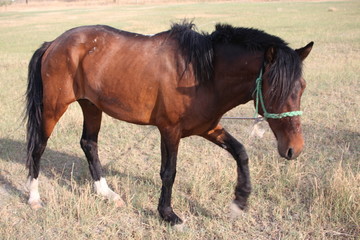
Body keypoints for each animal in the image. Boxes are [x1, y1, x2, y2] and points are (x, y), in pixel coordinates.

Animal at [25, 22, 312, 225]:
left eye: (302, 87)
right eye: (274, 90)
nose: (294, 149)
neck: (201, 73)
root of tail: (55, 42)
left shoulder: (207, 128)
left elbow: (240, 153)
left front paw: (239, 201)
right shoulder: (169, 130)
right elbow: (169, 172)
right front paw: (168, 214)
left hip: (92, 105)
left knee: (89, 144)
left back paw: (106, 194)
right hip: (53, 107)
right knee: (38, 147)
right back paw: (34, 198)